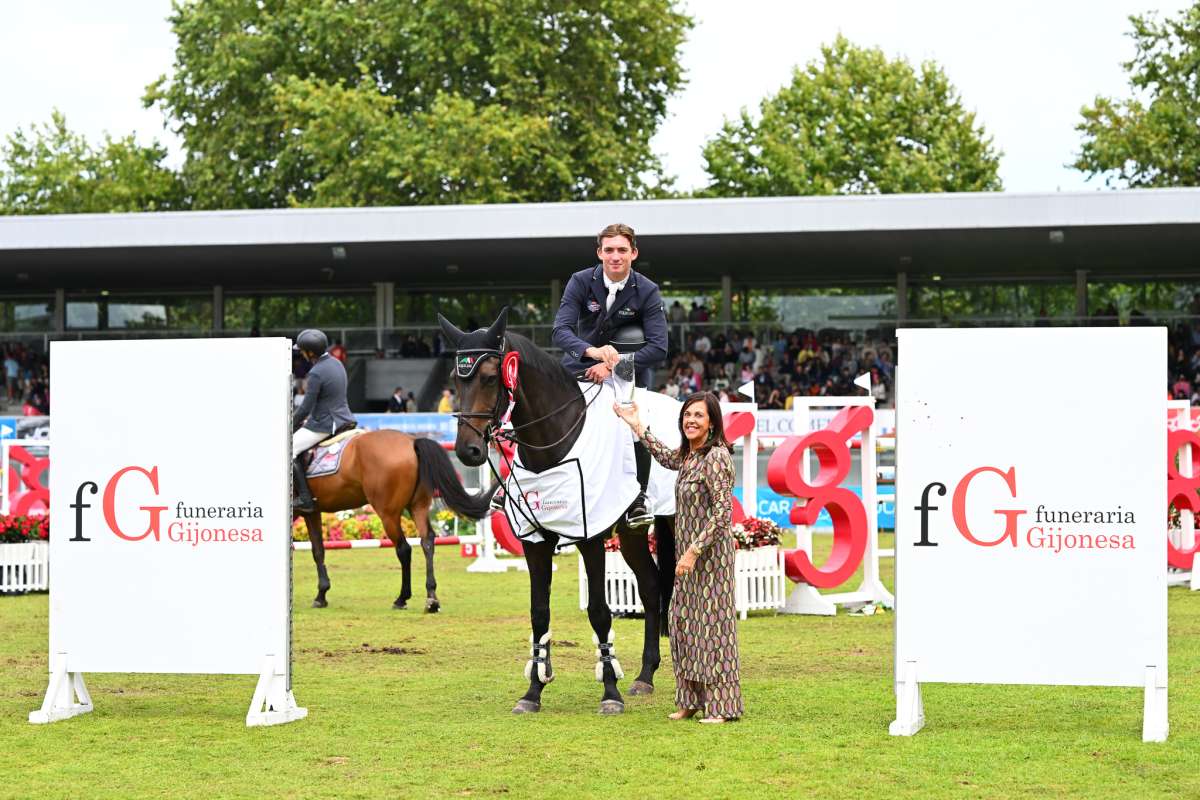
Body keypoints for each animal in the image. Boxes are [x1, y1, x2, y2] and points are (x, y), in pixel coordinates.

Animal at [297, 434, 494, 609]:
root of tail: (412, 442)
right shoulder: (313, 512)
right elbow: (318, 550)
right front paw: (322, 595)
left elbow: (316, 551)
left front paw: (320, 595)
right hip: (418, 506)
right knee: (427, 541)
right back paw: (431, 598)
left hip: (388, 514)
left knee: (403, 549)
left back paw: (402, 598)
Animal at [441, 309, 667, 714]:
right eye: (455, 378)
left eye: (489, 377)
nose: (468, 451)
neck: (552, 443)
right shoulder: (535, 541)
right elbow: (539, 611)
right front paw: (533, 691)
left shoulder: (590, 537)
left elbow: (599, 610)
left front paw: (610, 692)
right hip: (630, 534)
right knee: (651, 585)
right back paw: (645, 676)